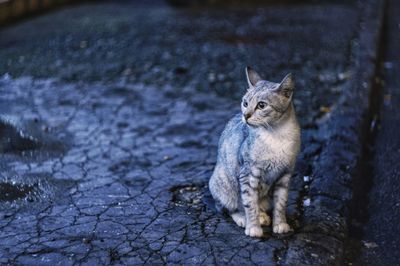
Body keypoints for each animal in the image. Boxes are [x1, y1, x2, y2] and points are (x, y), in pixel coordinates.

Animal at [209, 66, 300, 237]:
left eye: (262, 105)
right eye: (245, 103)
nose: (245, 115)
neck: (276, 134)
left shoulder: (285, 174)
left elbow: (280, 203)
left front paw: (280, 224)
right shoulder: (248, 173)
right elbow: (249, 203)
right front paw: (253, 227)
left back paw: (263, 215)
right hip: (225, 183)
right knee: (229, 207)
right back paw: (245, 218)